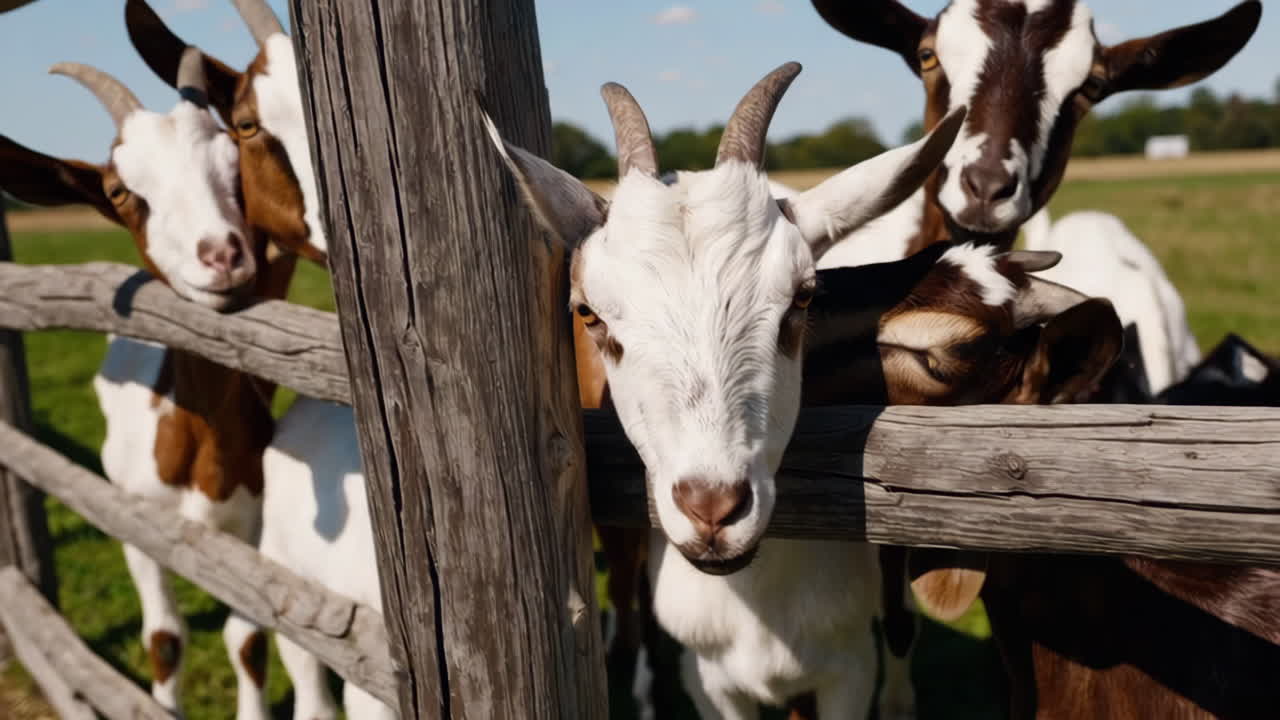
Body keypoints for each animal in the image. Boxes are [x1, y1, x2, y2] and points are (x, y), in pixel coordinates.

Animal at [0, 55, 296, 720]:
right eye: (119, 191)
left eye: (232, 165)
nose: (223, 256)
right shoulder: (136, 522)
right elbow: (164, 639)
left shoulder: (251, 530)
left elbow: (247, 644)